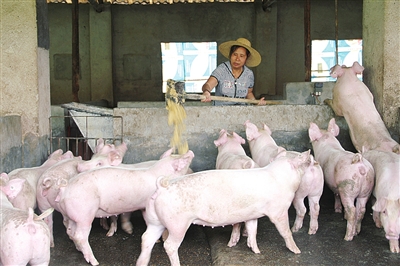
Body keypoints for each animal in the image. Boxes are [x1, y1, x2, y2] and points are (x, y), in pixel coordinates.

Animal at [55, 149, 194, 264]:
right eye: (180, 160)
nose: (190, 152)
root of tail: (65, 188)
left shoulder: (143, 207)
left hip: (72, 215)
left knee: (70, 231)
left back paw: (79, 249)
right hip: (84, 213)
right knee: (80, 236)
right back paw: (95, 261)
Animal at [137, 151, 312, 264]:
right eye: (301, 160)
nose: (311, 157)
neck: (283, 179)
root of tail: (162, 187)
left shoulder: (252, 213)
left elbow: (253, 230)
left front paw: (256, 251)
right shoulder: (279, 211)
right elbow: (285, 231)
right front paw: (297, 251)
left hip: (155, 221)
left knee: (146, 239)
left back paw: (141, 262)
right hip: (178, 224)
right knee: (169, 245)